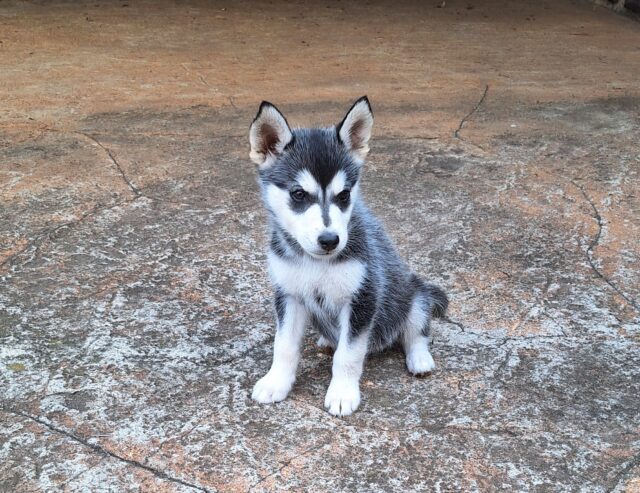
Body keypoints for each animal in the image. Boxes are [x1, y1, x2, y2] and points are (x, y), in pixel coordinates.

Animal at [248, 96, 448, 416]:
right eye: (298, 194)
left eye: (344, 196)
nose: (330, 240)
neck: (316, 262)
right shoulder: (289, 295)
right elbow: (284, 346)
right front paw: (275, 382)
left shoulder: (364, 296)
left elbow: (349, 354)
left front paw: (342, 392)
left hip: (414, 295)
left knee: (416, 331)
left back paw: (420, 359)